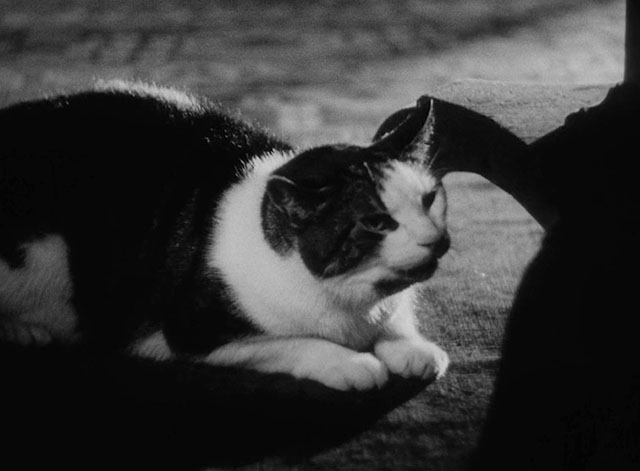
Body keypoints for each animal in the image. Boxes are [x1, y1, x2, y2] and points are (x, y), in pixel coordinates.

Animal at [0, 80, 450, 390]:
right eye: (376, 222)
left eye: (429, 200)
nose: (437, 241)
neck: (351, 303)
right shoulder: (191, 333)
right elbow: (298, 342)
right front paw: (352, 363)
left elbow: (398, 318)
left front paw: (410, 347)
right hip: (46, 254)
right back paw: (25, 331)